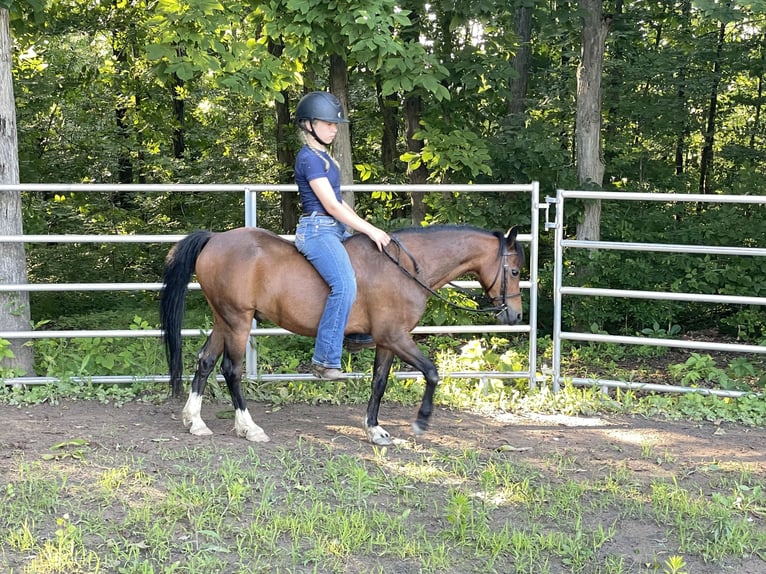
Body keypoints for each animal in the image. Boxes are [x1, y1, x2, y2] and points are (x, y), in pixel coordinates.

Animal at [159, 224, 524, 446]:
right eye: (516, 271)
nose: (516, 315)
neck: (405, 269)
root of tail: (215, 238)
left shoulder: (387, 341)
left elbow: (379, 382)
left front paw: (376, 430)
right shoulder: (396, 337)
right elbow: (432, 372)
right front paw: (421, 422)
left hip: (223, 319)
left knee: (205, 362)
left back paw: (195, 421)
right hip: (238, 320)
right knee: (230, 370)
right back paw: (250, 428)